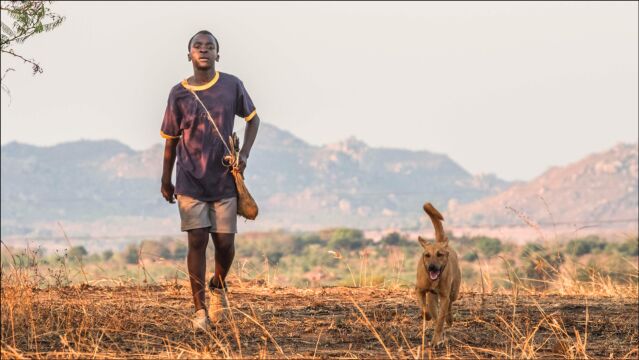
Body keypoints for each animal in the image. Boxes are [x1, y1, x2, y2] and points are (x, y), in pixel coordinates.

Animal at [418, 202, 462, 346]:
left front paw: (436, 339)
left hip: (454, 292)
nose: (431, 267)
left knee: (449, 306)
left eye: (439, 254)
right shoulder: (420, 290)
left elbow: (440, 321)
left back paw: (449, 320)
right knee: (434, 311)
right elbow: (425, 309)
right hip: (432, 297)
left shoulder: (444, 296)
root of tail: (441, 241)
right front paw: (427, 317)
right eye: (427, 255)